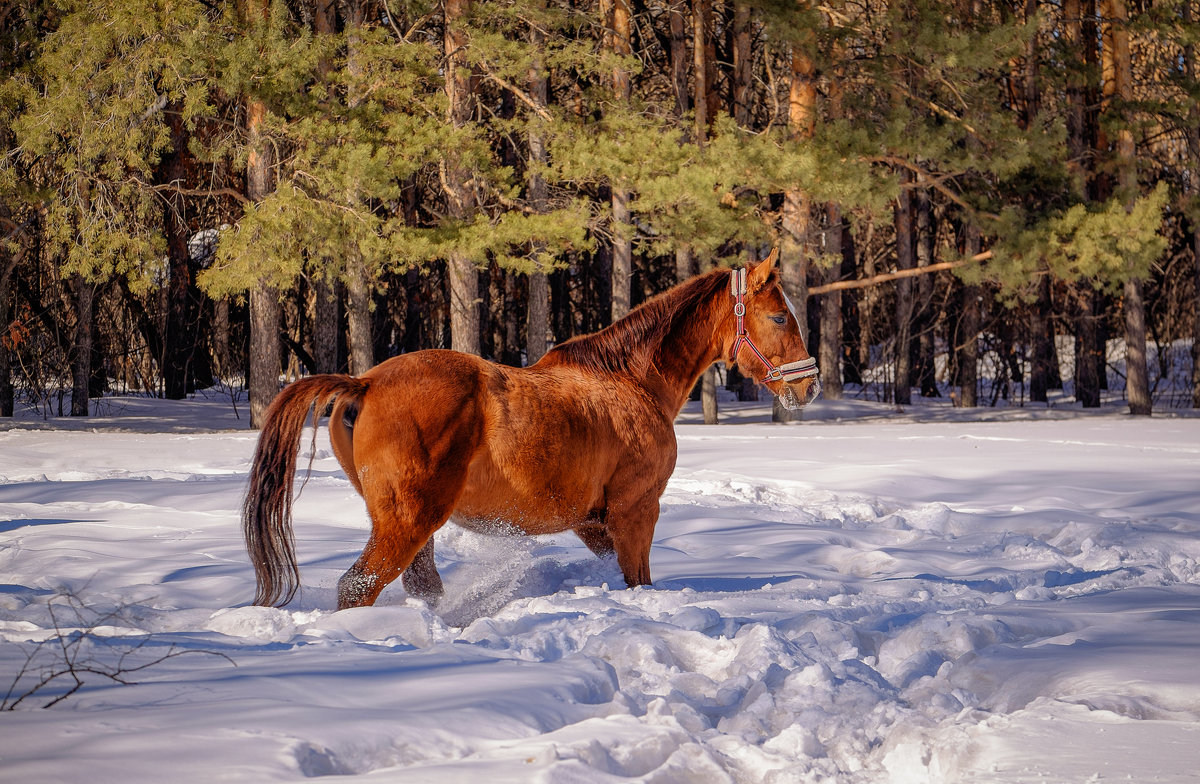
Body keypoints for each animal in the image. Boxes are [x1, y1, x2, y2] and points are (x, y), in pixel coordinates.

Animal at [247, 247, 820, 607]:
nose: (808, 385)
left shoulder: (593, 523)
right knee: (357, 587)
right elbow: (638, 579)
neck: (630, 380)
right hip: (407, 522)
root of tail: (364, 383)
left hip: (414, 527)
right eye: (778, 318)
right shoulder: (636, 510)